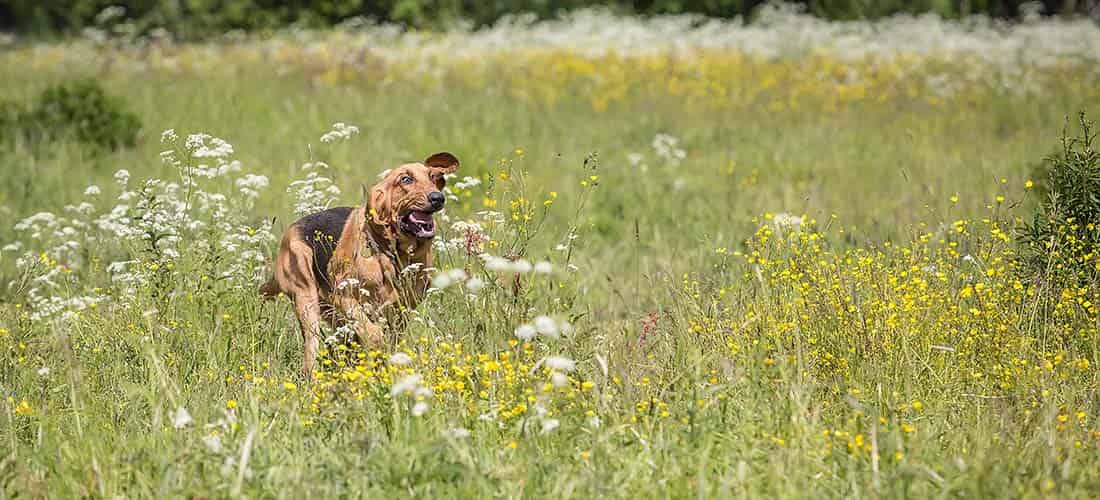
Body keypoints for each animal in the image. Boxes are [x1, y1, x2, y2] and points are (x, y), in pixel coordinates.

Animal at [259, 152, 457, 375]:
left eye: (432, 177)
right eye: (406, 179)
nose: (437, 198)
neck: (393, 255)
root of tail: (293, 228)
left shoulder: (401, 312)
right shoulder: (345, 298)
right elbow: (374, 334)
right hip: (307, 301)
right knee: (312, 348)